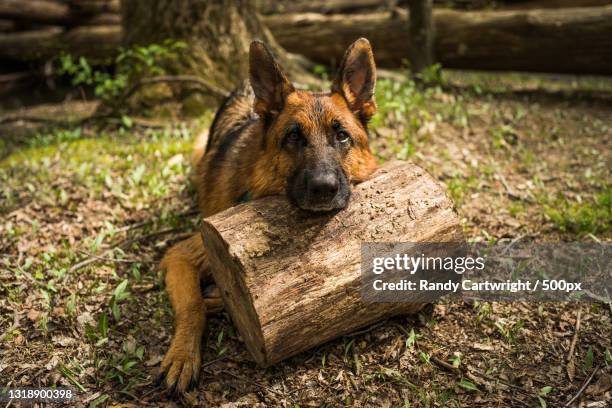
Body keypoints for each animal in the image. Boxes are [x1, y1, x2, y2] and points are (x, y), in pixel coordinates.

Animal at [158, 38, 378, 392]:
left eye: (342, 135)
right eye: (294, 136)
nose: (324, 188)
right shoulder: (180, 255)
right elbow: (192, 305)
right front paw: (182, 355)